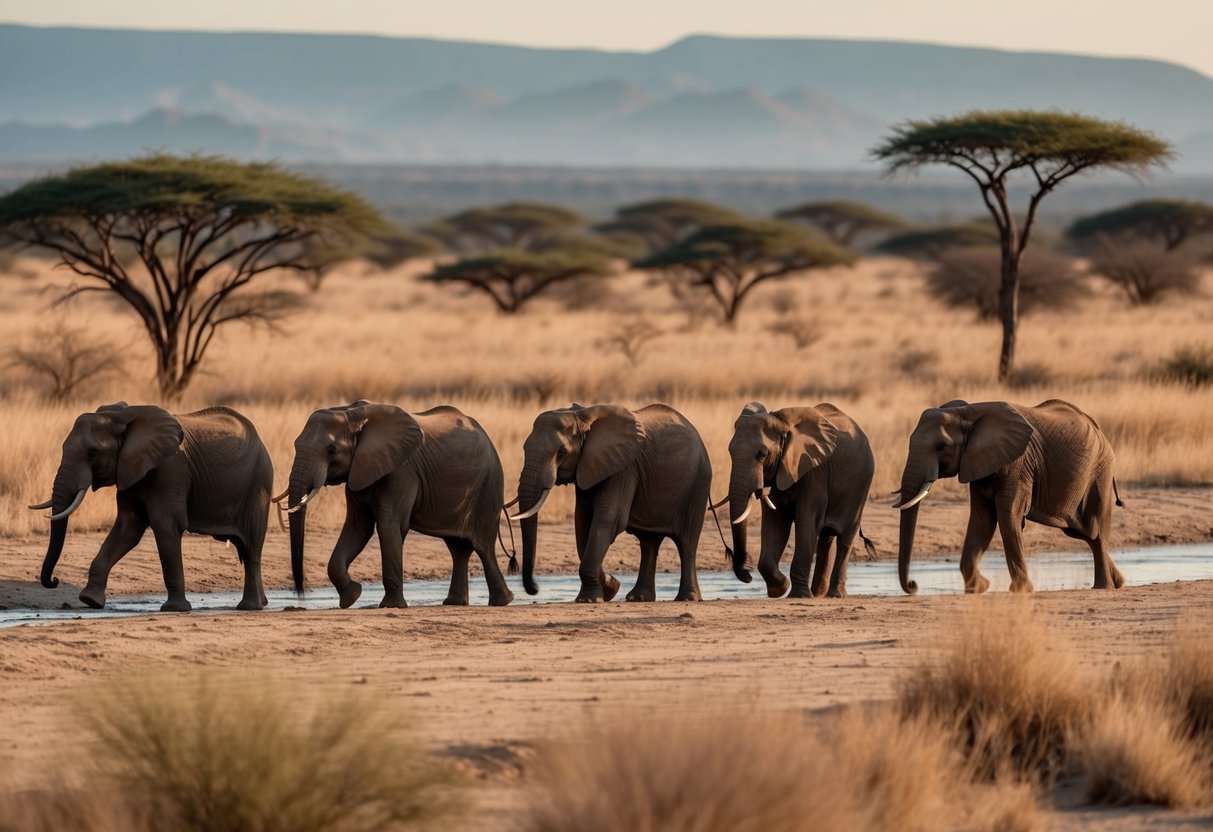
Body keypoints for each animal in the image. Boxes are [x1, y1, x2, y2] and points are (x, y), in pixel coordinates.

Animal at [30, 405, 272, 613]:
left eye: (93, 452)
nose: (54, 580)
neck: (121, 417)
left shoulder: (170, 468)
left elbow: (165, 524)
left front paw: (175, 609)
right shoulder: (129, 469)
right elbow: (127, 528)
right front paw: (90, 600)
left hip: (258, 484)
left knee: (251, 547)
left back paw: (250, 607)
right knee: (247, 548)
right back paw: (261, 604)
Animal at [282, 400, 511, 608]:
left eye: (331, 449)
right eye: (295, 444)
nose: (300, 595)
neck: (353, 414)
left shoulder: (402, 471)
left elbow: (388, 525)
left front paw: (390, 606)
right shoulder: (359, 470)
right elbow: (358, 527)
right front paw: (352, 596)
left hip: (489, 485)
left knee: (483, 545)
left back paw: (502, 601)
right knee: (458, 548)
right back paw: (455, 603)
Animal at [509, 402, 708, 603]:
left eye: (561, 452)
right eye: (524, 449)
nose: (534, 589)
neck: (583, 417)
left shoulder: (624, 468)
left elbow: (608, 519)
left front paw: (589, 599)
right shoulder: (589, 467)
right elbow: (583, 523)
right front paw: (611, 586)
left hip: (698, 484)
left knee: (687, 543)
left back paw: (687, 598)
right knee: (648, 543)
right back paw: (638, 598)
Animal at [722, 405, 878, 599]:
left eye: (762, 456)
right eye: (730, 452)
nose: (748, 576)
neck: (783, 424)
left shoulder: (814, 472)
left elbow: (806, 522)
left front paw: (798, 595)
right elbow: (775, 523)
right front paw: (780, 588)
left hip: (862, 482)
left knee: (845, 538)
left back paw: (834, 595)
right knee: (826, 538)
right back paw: (818, 593)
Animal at [892, 400, 1125, 596]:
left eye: (941, 447)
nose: (913, 585)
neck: (968, 412)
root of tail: (1099, 431)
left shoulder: (1018, 465)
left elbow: (1007, 516)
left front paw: (1021, 590)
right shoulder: (978, 464)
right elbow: (982, 519)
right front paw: (979, 588)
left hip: (1100, 473)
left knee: (1096, 531)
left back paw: (1103, 586)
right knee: (1083, 532)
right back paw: (1119, 582)